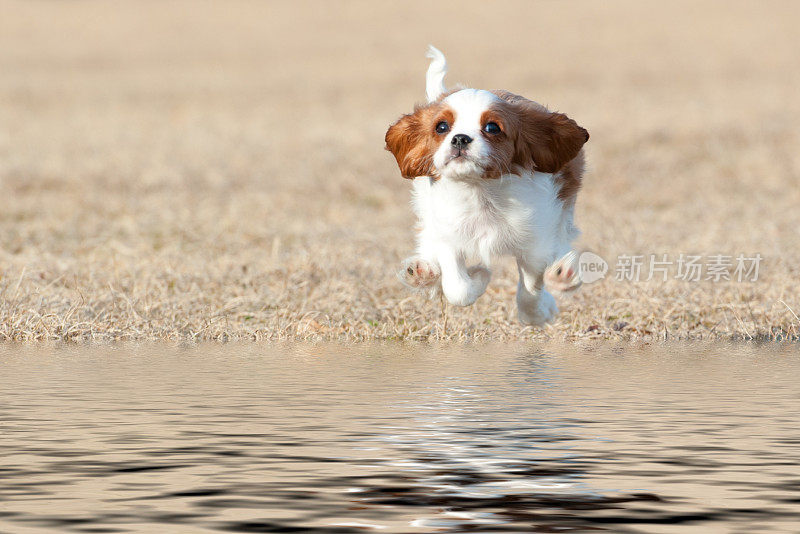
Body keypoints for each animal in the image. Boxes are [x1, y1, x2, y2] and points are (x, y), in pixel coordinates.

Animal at [388, 47, 588, 326]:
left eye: (492, 127)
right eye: (441, 127)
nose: (460, 138)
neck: (480, 191)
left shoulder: (535, 242)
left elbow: (530, 288)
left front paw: (538, 313)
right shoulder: (448, 232)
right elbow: (457, 287)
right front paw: (480, 274)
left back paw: (562, 274)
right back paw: (423, 272)